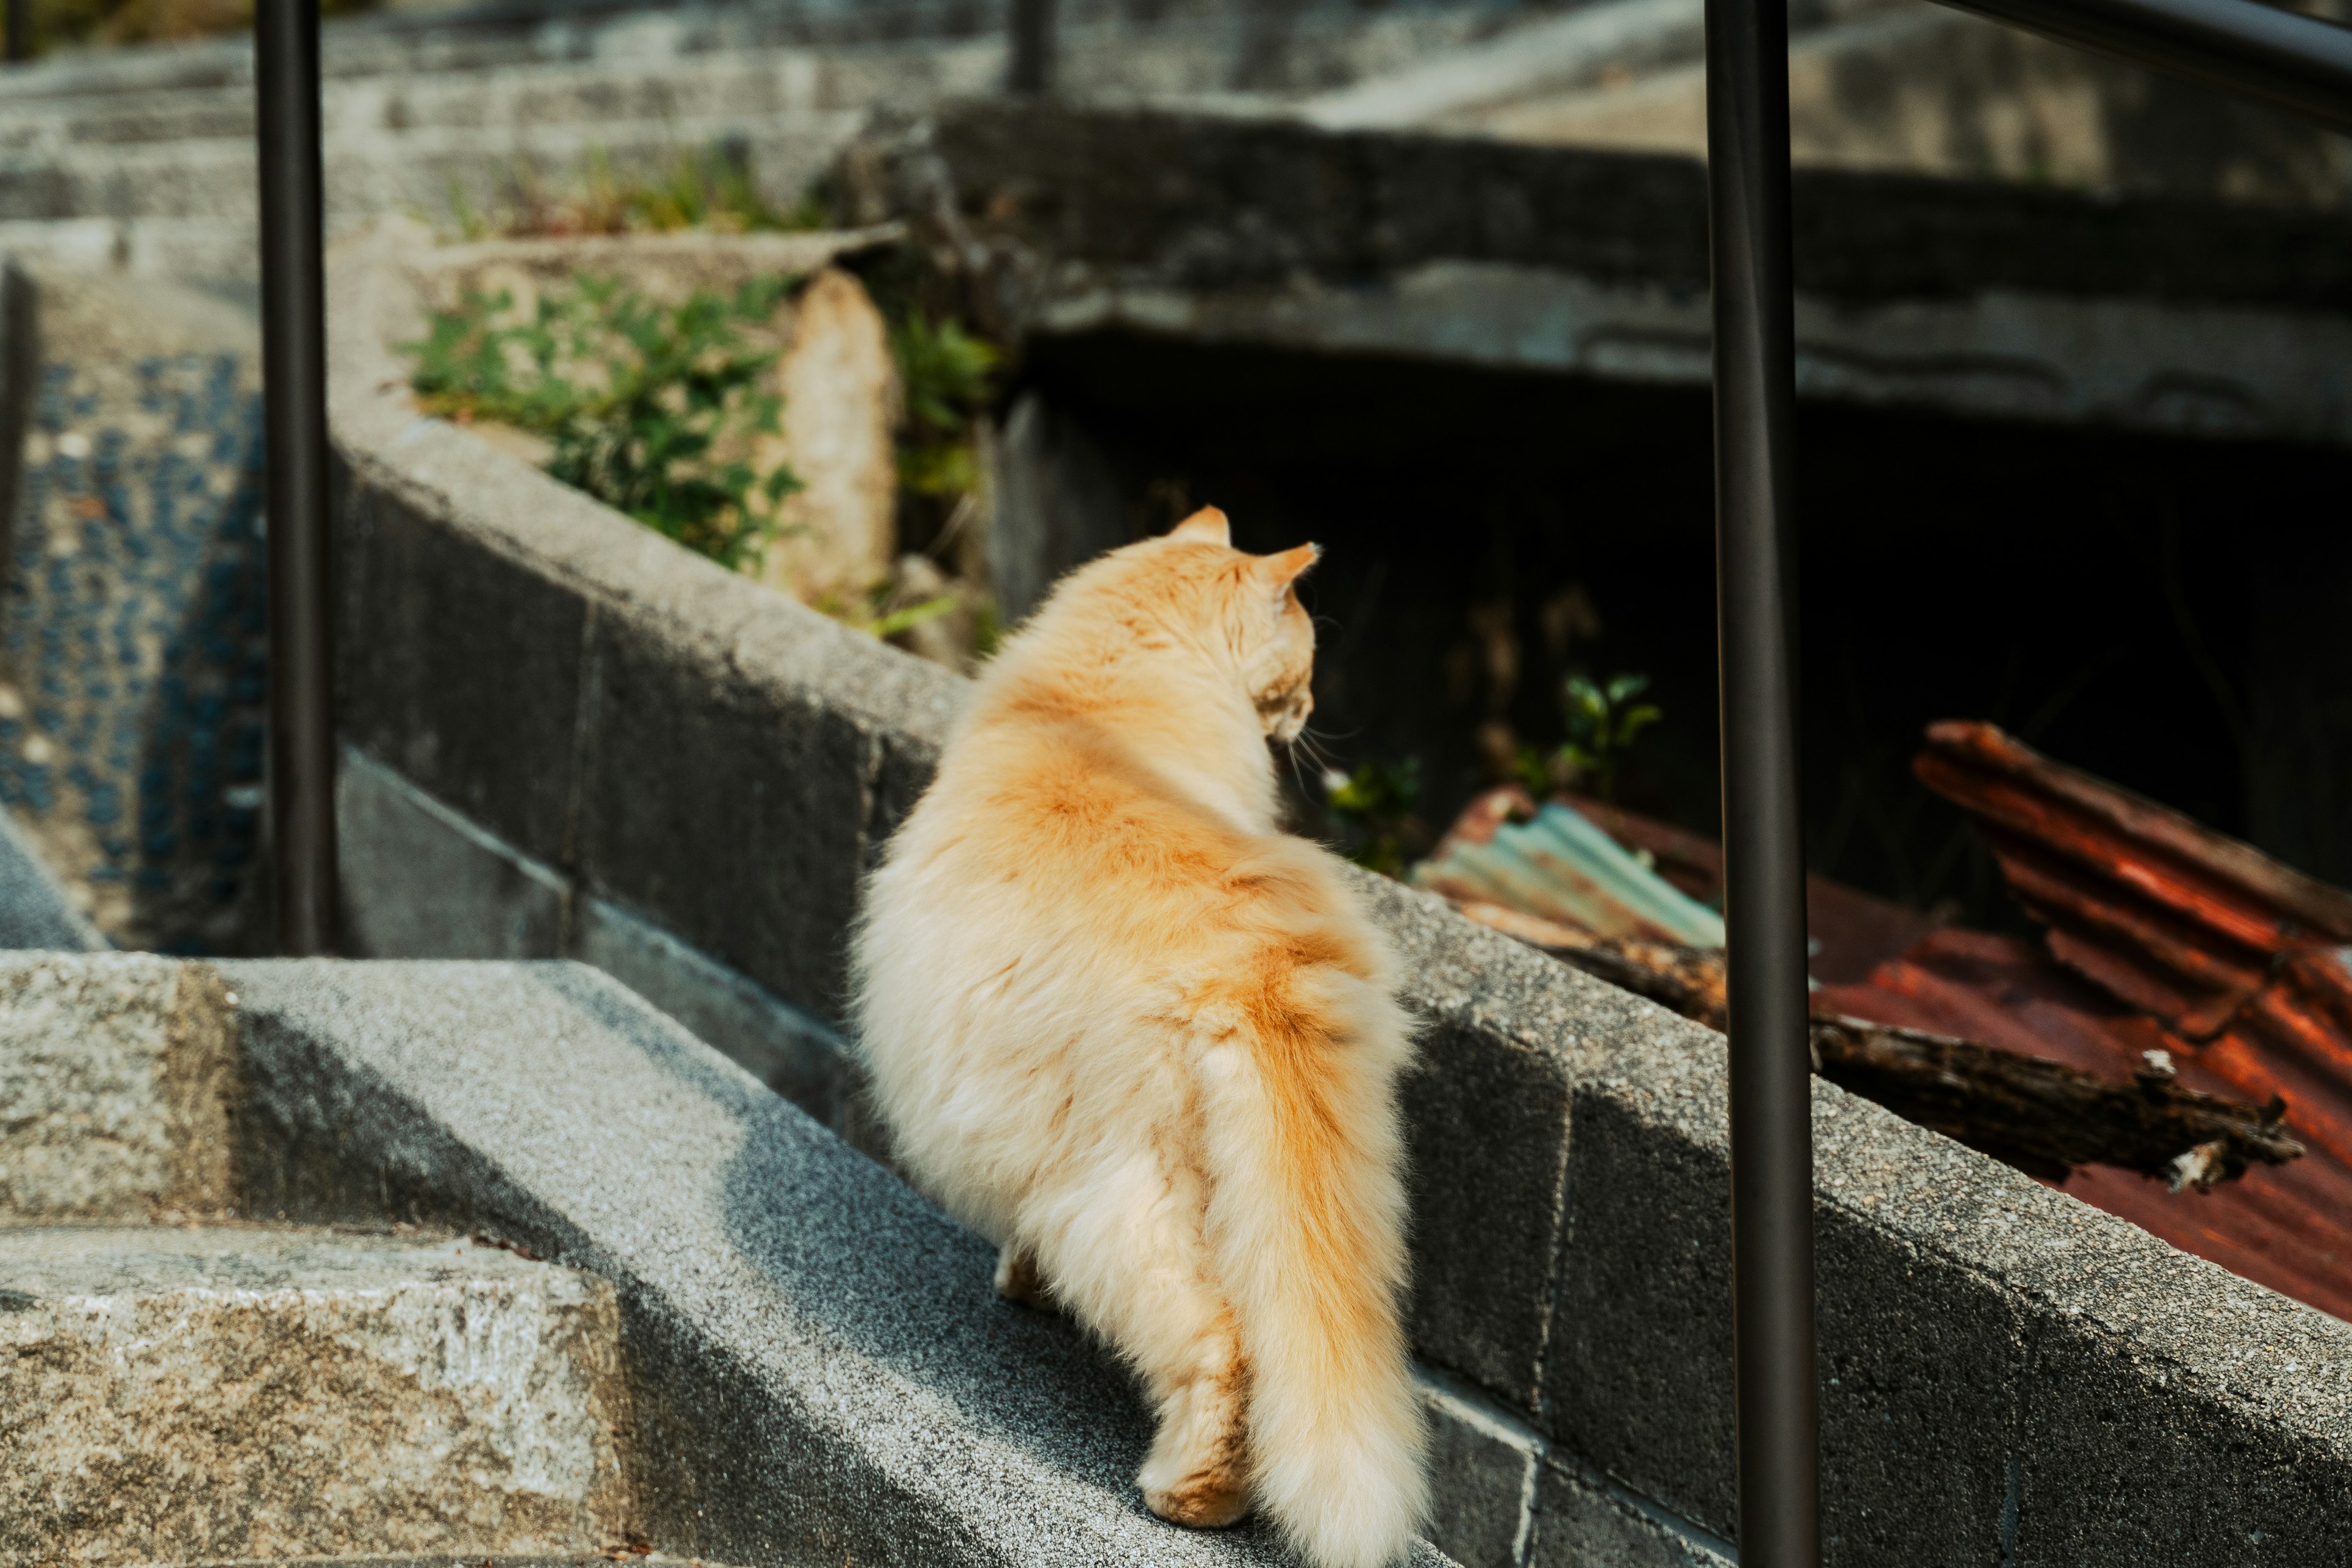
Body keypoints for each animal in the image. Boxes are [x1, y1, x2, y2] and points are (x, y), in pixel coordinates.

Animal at [856, 510, 1420, 1561]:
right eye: (1307, 660)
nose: (1310, 705)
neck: (1088, 703)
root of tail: (1266, 960)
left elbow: (1025, 1234)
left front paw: (1019, 1285)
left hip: (1121, 1186)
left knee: (1219, 1340)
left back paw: (1193, 1495)